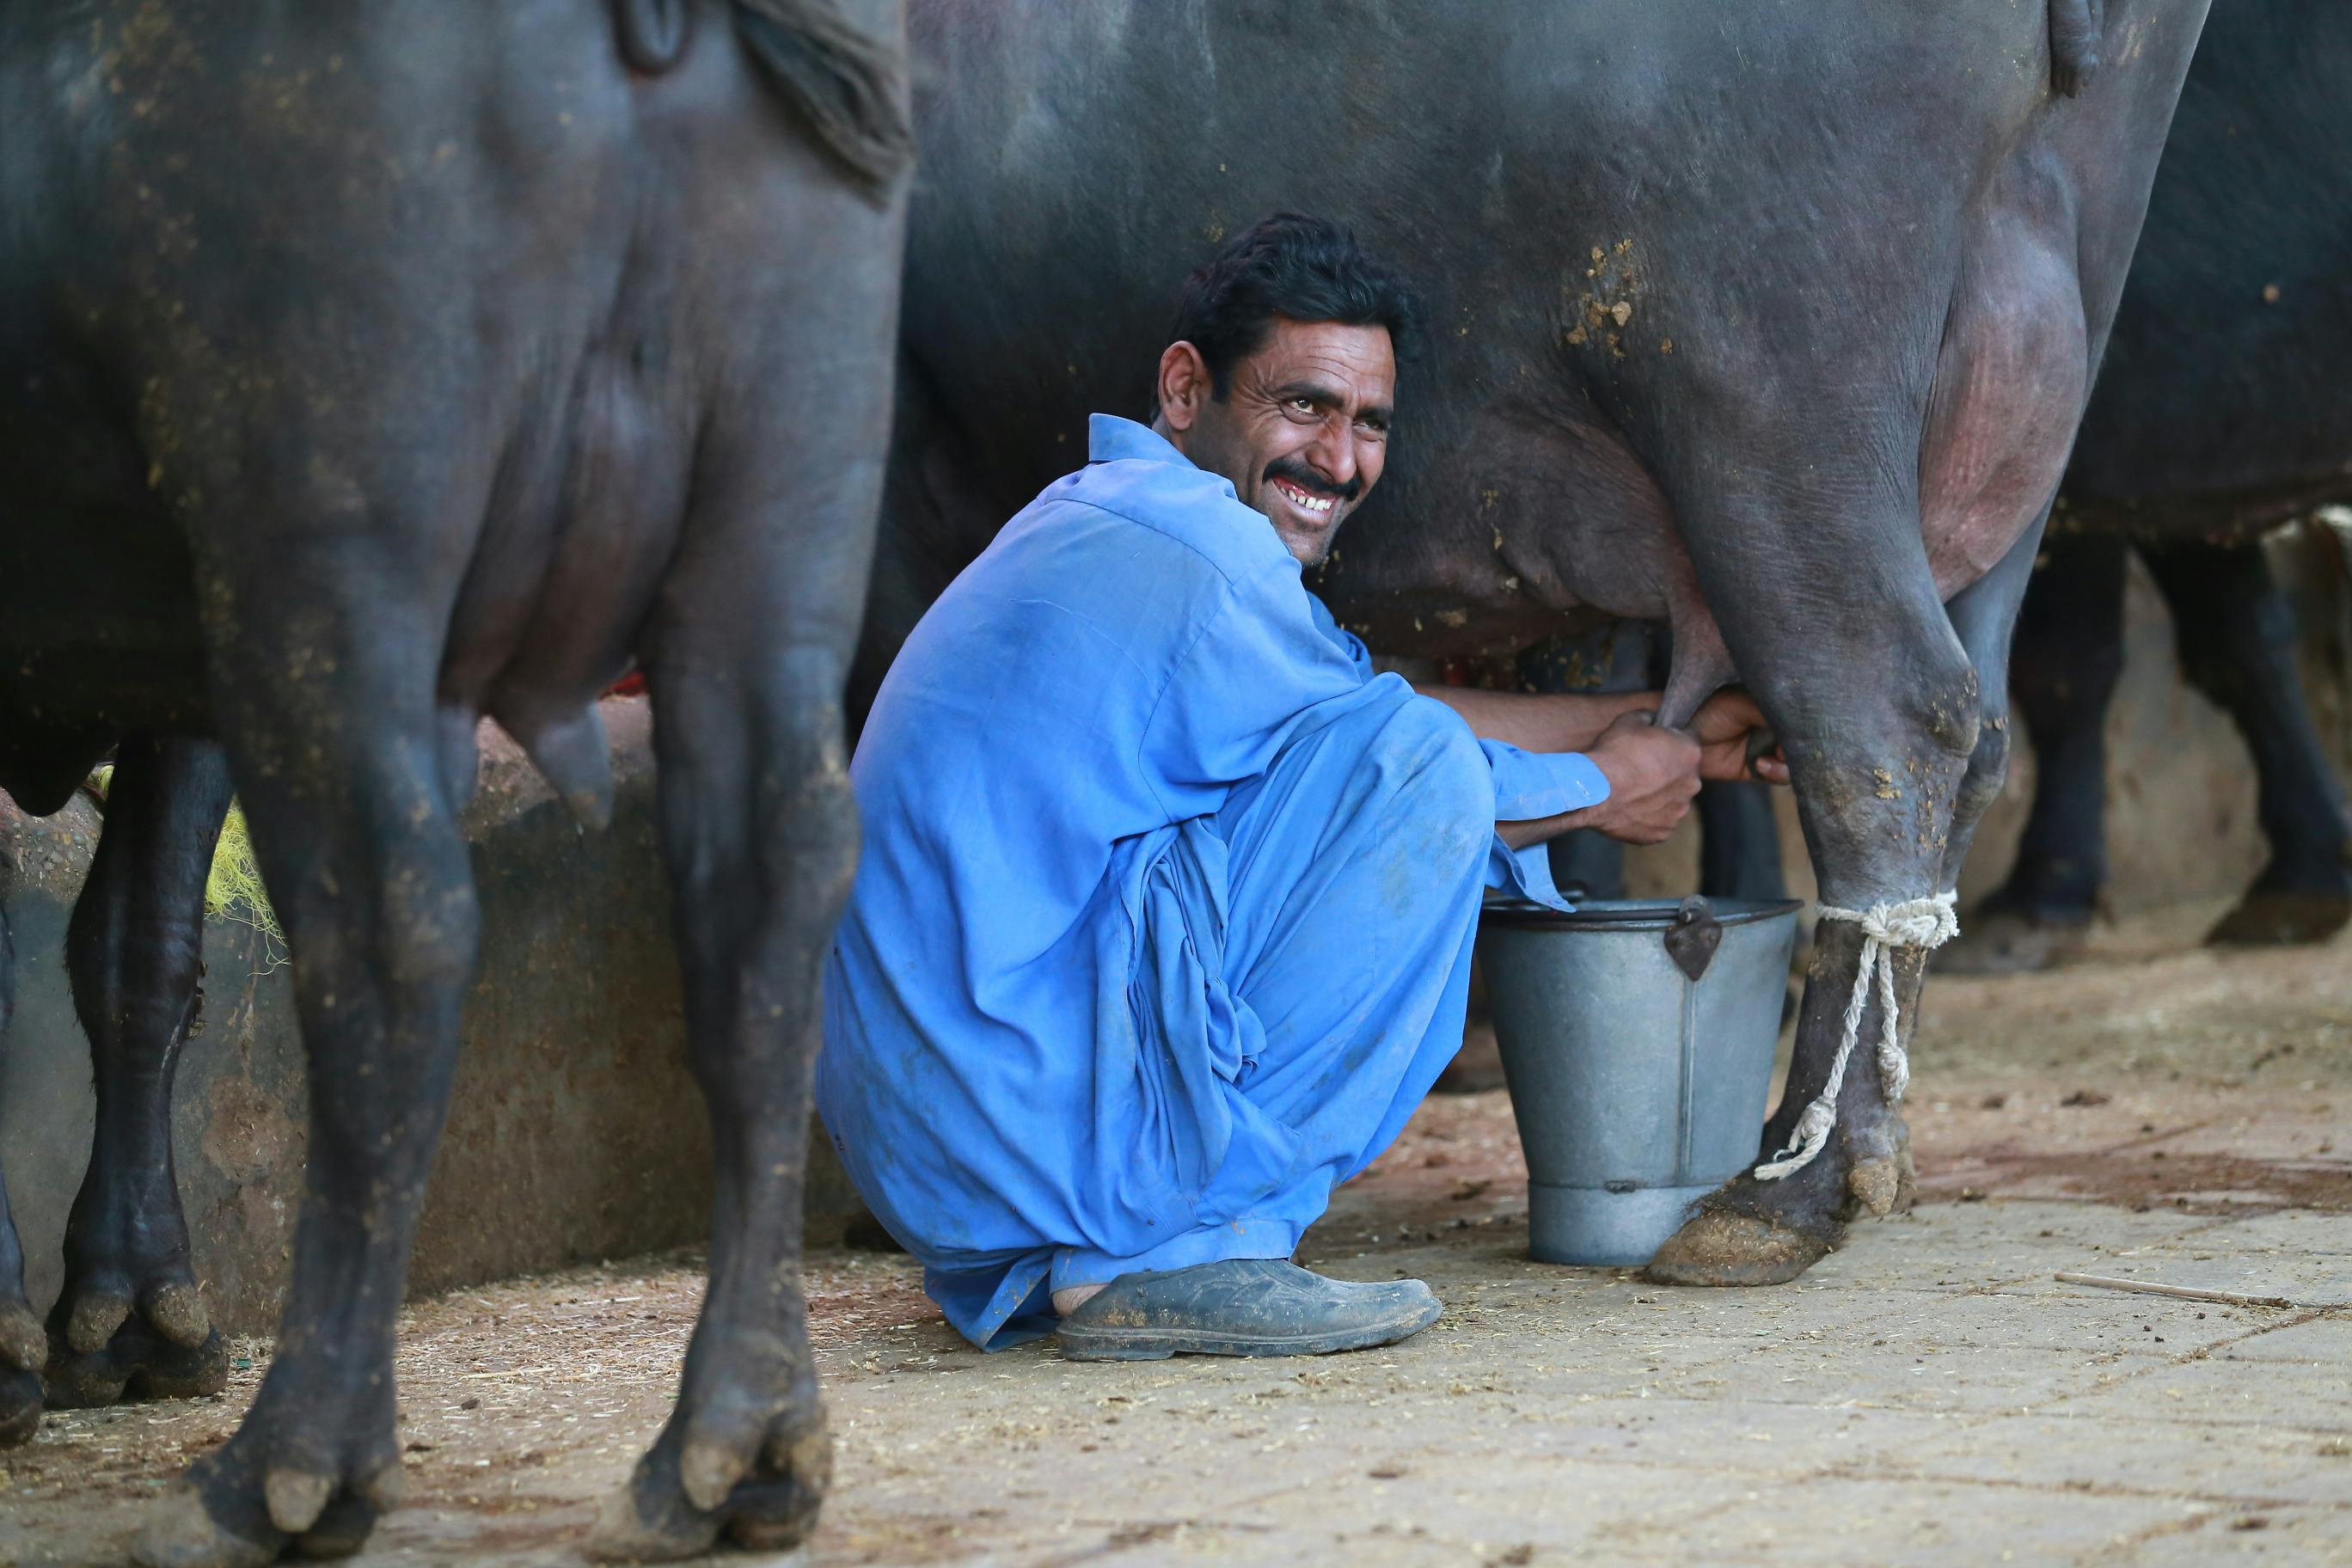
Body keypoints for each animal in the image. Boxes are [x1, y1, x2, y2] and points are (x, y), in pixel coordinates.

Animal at [0, 6, 908, 1560]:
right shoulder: (176, 669)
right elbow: (137, 948)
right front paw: (123, 1304)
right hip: (771, 542)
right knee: (773, 906)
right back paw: (738, 1443)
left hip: (327, 568)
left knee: (391, 941)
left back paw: (294, 1464)